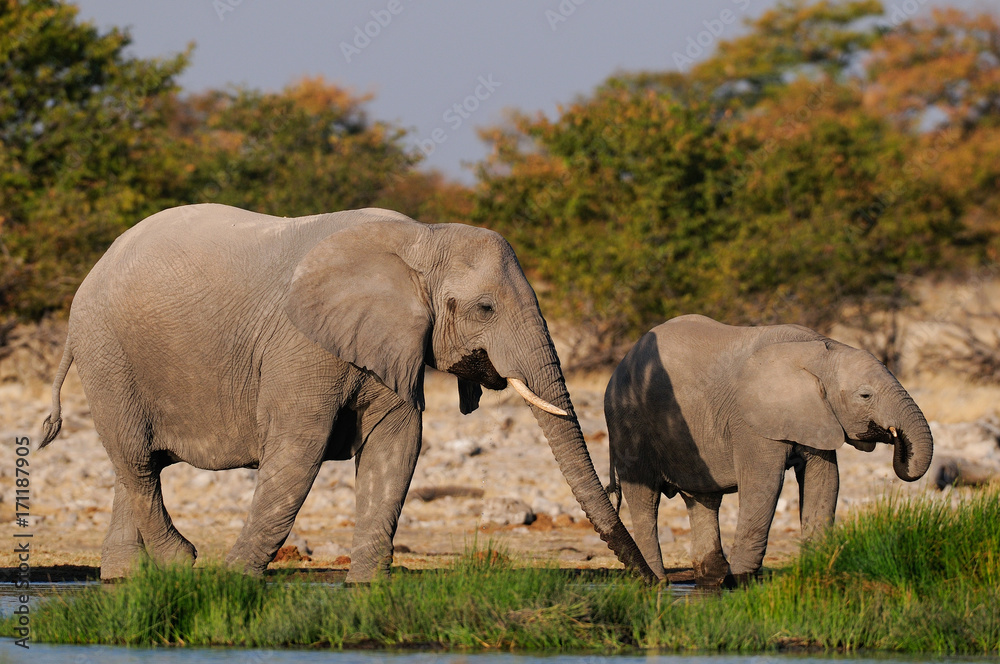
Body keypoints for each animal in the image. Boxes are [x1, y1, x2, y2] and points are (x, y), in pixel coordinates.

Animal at [604, 314, 932, 584]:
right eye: (865, 395)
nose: (897, 441)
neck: (818, 351)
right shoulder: (752, 423)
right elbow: (764, 485)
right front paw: (739, 582)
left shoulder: (816, 414)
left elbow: (824, 483)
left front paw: (818, 568)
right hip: (628, 423)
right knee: (645, 499)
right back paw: (657, 581)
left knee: (703, 499)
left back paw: (709, 579)